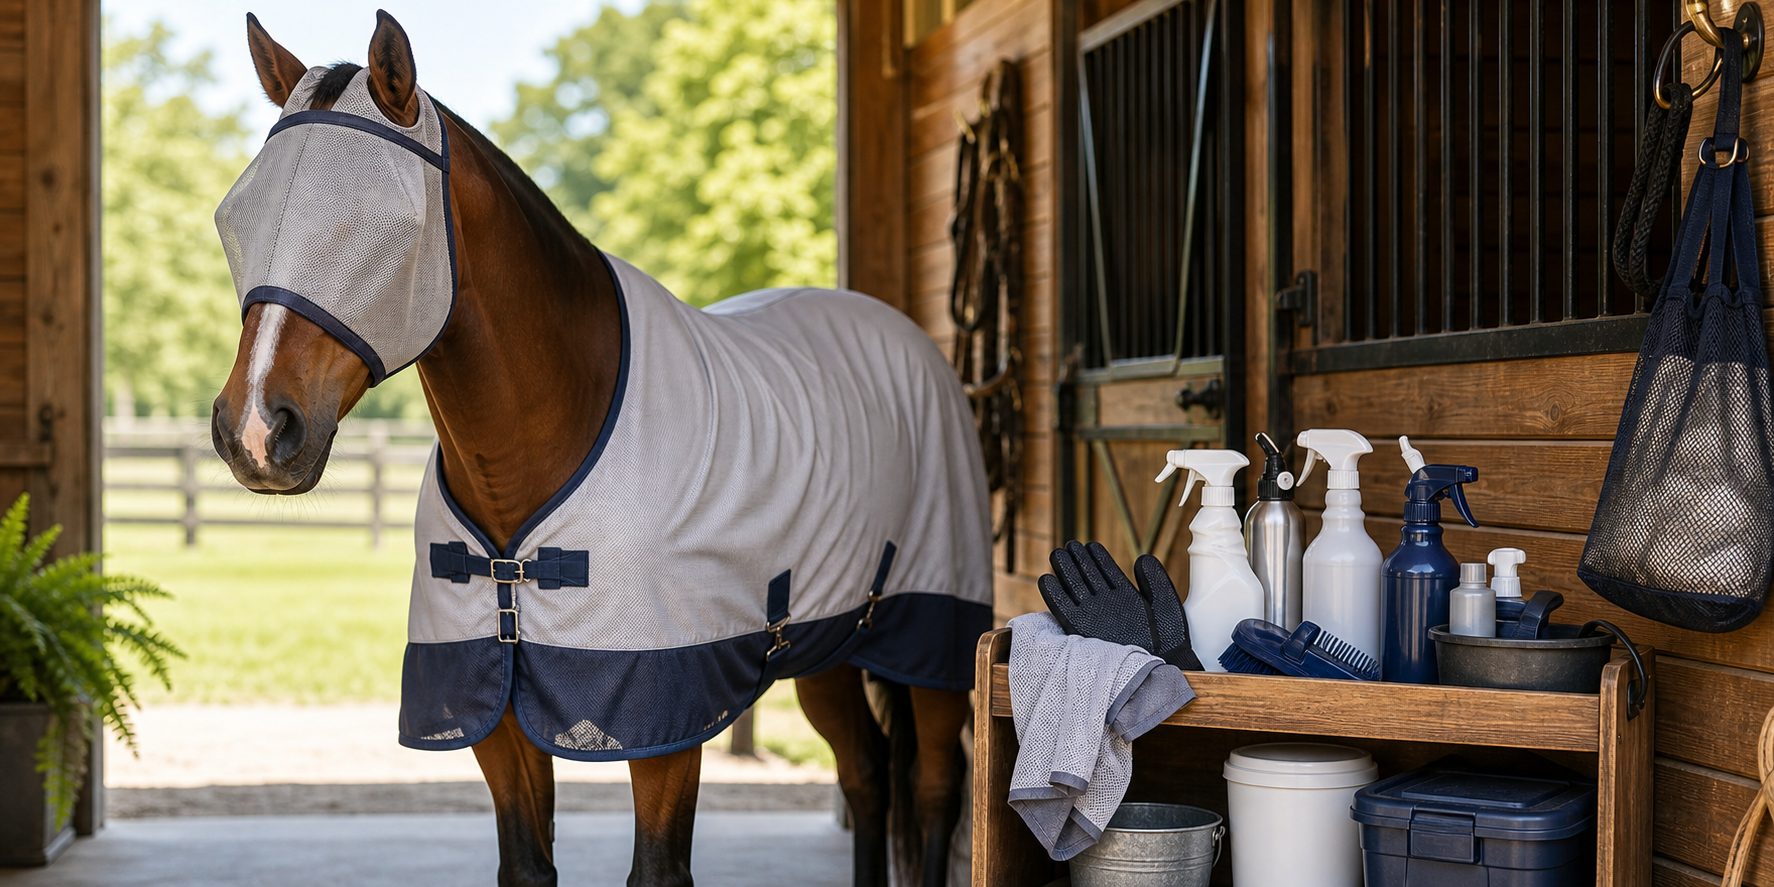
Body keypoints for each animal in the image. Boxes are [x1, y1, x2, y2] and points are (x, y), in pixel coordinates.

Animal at [207, 12, 989, 887]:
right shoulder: (495, 713)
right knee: (866, 772)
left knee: (934, 782)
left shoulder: (664, 719)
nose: (255, 429)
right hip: (827, 648)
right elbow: (527, 861)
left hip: (932, 635)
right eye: (237, 216)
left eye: (383, 223)